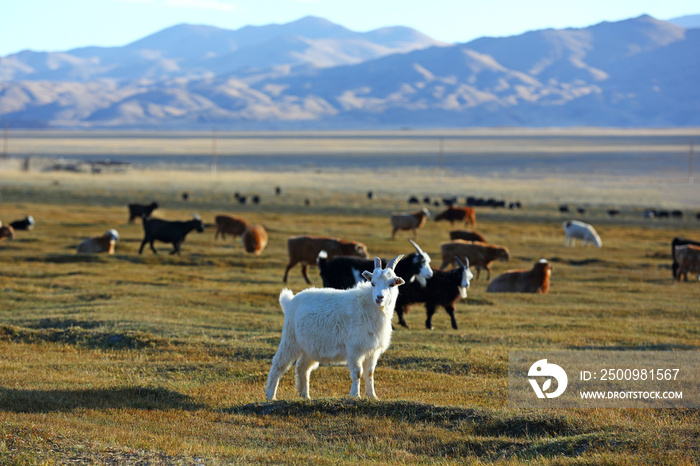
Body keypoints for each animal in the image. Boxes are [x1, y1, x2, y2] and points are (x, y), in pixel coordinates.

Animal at [264, 255, 408, 400]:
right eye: (372, 283)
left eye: (391, 284)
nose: (379, 297)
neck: (368, 305)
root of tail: (290, 301)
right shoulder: (355, 349)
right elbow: (357, 373)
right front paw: (355, 395)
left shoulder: (372, 351)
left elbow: (370, 373)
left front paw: (373, 396)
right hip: (290, 339)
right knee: (278, 364)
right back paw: (271, 396)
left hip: (309, 347)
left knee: (302, 368)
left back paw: (305, 396)